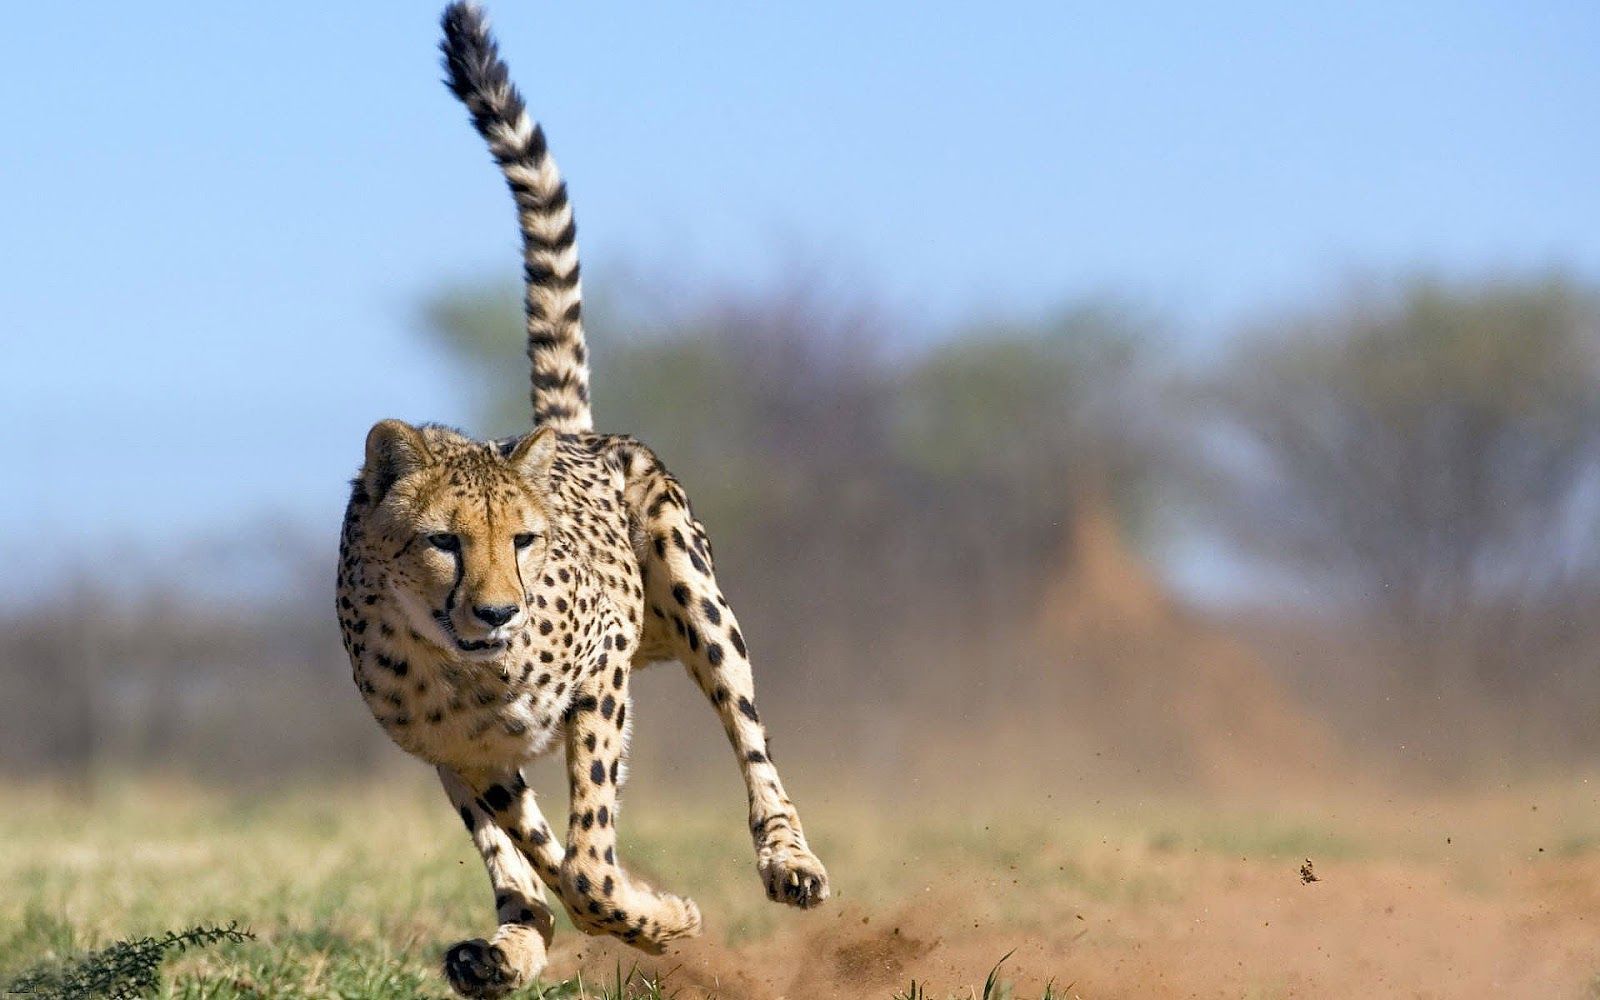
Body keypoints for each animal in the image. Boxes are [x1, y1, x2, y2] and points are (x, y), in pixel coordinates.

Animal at [334, 5, 829, 996]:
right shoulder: (462, 750)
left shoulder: (600, 673)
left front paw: (659, 917)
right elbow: (548, 855)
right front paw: (637, 917)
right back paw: (506, 945)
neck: (464, 664)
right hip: (460, 760)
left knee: (748, 736)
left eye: (524, 541)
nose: (497, 610)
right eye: (443, 542)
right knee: (521, 860)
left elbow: (591, 862)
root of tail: (566, 432)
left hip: (691, 589)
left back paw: (786, 860)